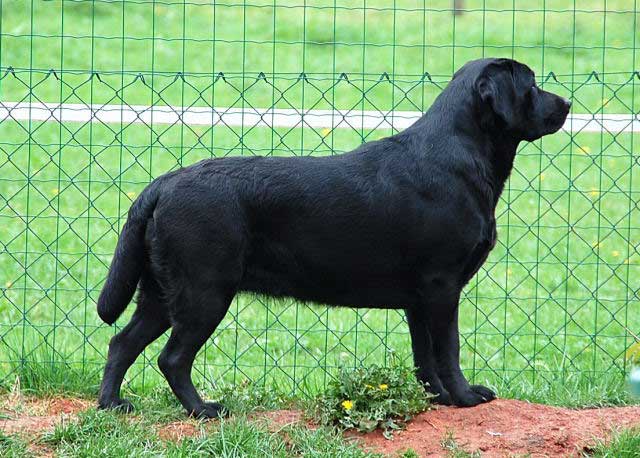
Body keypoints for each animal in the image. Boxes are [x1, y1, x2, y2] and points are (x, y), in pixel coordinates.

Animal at [96, 58, 571, 418]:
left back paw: (112, 405)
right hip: (204, 290)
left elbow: (424, 358)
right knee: (172, 358)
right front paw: (465, 397)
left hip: (161, 291)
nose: (566, 103)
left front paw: (436, 399)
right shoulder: (442, 285)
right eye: (531, 85)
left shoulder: (418, 298)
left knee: (122, 342)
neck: (462, 157)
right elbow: (448, 350)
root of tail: (163, 183)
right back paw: (204, 410)